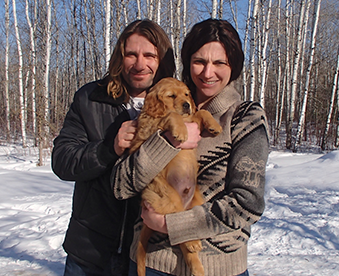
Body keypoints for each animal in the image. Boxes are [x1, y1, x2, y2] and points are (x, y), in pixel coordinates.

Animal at [130, 77, 223, 276]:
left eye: (187, 94)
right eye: (171, 96)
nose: (187, 104)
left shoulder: (193, 121)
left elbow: (201, 111)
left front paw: (214, 125)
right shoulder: (149, 128)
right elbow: (172, 116)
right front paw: (180, 131)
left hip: (196, 204)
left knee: (185, 229)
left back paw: (197, 267)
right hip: (169, 199)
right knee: (179, 230)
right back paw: (194, 245)